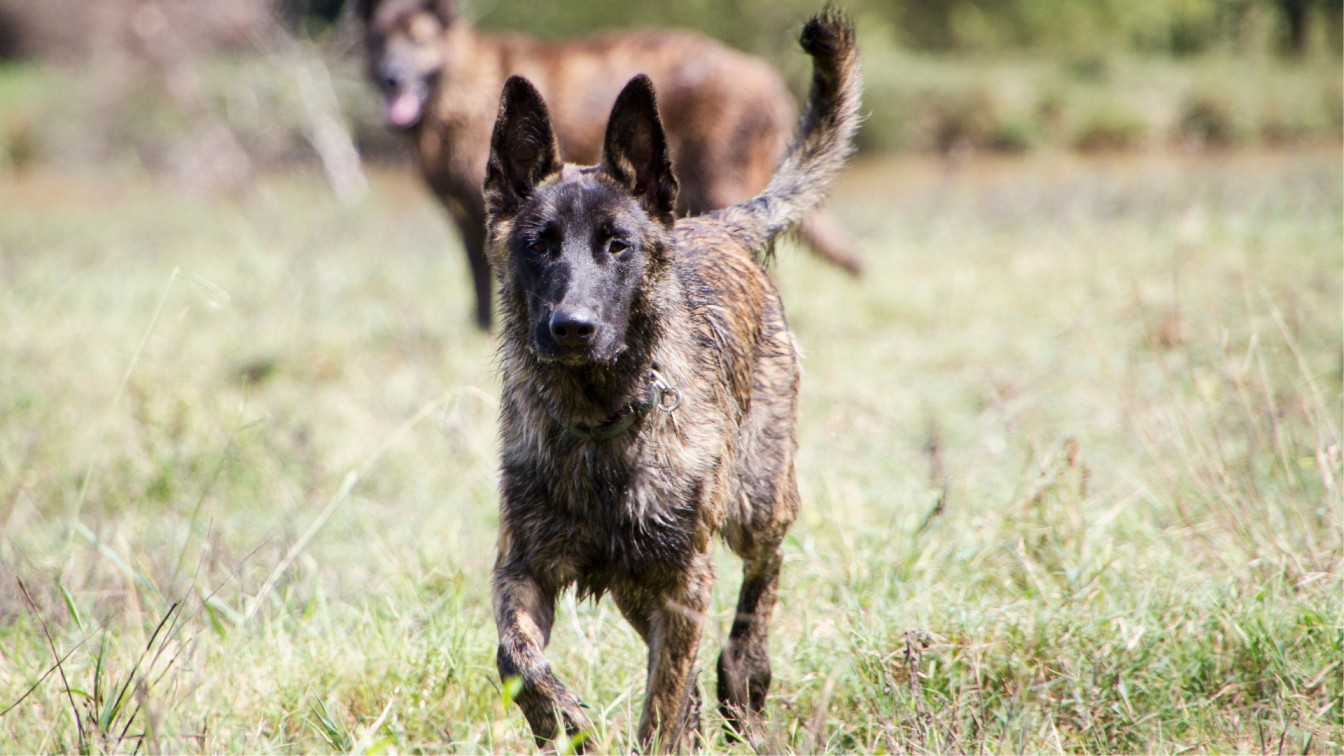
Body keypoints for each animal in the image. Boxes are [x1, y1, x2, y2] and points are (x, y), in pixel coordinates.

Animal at [357, 0, 860, 329]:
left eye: (418, 40)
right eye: (380, 40)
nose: (391, 76)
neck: (458, 80)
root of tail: (766, 78)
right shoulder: (469, 219)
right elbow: (481, 290)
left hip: (721, 185)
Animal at [483, 10, 860, 747]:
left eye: (617, 245)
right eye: (538, 244)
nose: (572, 328)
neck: (598, 422)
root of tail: (715, 223)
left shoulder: (682, 585)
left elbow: (661, 704)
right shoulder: (524, 566)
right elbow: (514, 657)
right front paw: (561, 719)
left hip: (756, 498)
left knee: (762, 578)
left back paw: (743, 681)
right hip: (643, 575)